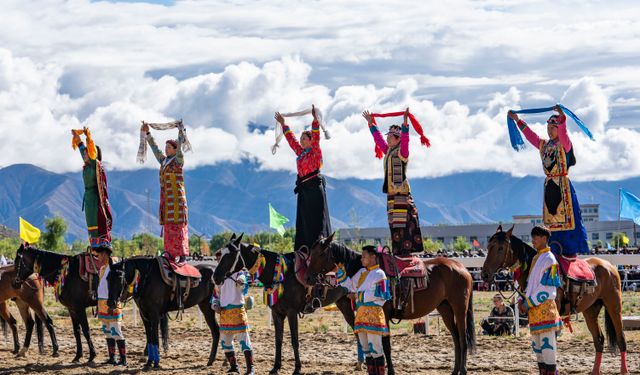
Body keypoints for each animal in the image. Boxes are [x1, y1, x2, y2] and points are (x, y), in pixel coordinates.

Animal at [13, 245, 169, 362]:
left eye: (16, 262)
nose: (15, 283)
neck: (67, 273)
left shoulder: (79, 308)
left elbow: (86, 330)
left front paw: (92, 355)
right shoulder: (71, 309)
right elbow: (76, 331)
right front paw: (77, 356)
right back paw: (148, 351)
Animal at [214, 235, 362, 375]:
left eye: (231, 254)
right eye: (221, 253)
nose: (215, 277)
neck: (283, 276)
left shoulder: (292, 312)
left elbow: (294, 340)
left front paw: (297, 368)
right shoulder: (277, 313)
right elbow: (278, 340)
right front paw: (275, 367)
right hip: (344, 303)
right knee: (355, 329)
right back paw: (359, 363)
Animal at [304, 235, 476, 375]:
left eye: (320, 253)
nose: (307, 278)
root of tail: (463, 269)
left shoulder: (384, 315)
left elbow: (385, 345)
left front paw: (391, 371)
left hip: (459, 308)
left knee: (462, 338)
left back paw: (463, 370)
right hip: (445, 308)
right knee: (455, 338)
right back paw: (454, 371)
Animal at [482, 226, 628, 375]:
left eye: (500, 248)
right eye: (488, 246)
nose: (485, 274)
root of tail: (609, 266)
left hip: (614, 306)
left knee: (621, 338)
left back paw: (624, 370)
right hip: (590, 310)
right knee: (599, 340)